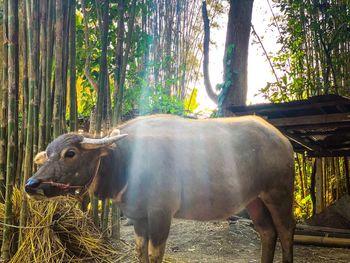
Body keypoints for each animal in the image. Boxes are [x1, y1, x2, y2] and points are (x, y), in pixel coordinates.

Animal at [25, 115, 296, 263]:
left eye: (70, 153)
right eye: (47, 154)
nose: (31, 185)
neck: (128, 161)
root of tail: (283, 140)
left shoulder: (160, 214)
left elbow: (156, 254)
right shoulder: (138, 218)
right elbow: (140, 251)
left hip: (279, 193)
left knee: (285, 230)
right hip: (255, 200)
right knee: (267, 232)